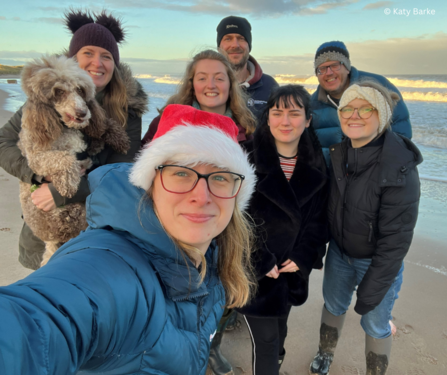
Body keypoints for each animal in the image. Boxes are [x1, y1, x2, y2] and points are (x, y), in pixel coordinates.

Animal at [17, 55, 130, 268]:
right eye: (59, 92)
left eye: (80, 90)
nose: (82, 113)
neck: (65, 127)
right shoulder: (37, 156)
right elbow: (64, 157)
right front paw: (68, 184)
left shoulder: (91, 146)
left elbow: (103, 127)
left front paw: (119, 137)